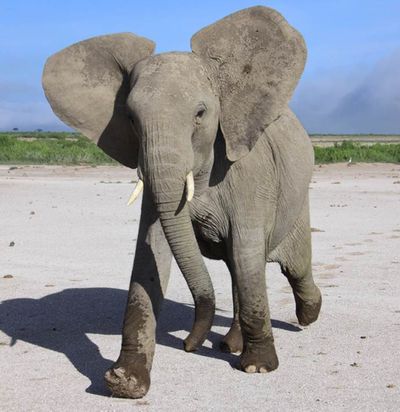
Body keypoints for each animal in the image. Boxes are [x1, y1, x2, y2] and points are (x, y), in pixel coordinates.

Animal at [41, 6, 322, 400]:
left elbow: (247, 251)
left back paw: (307, 316)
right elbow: (151, 256)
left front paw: (258, 367)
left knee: (289, 266)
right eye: (131, 118)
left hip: (298, 201)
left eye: (200, 114)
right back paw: (229, 345)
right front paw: (124, 382)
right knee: (239, 269)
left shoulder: (249, 172)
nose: (189, 345)